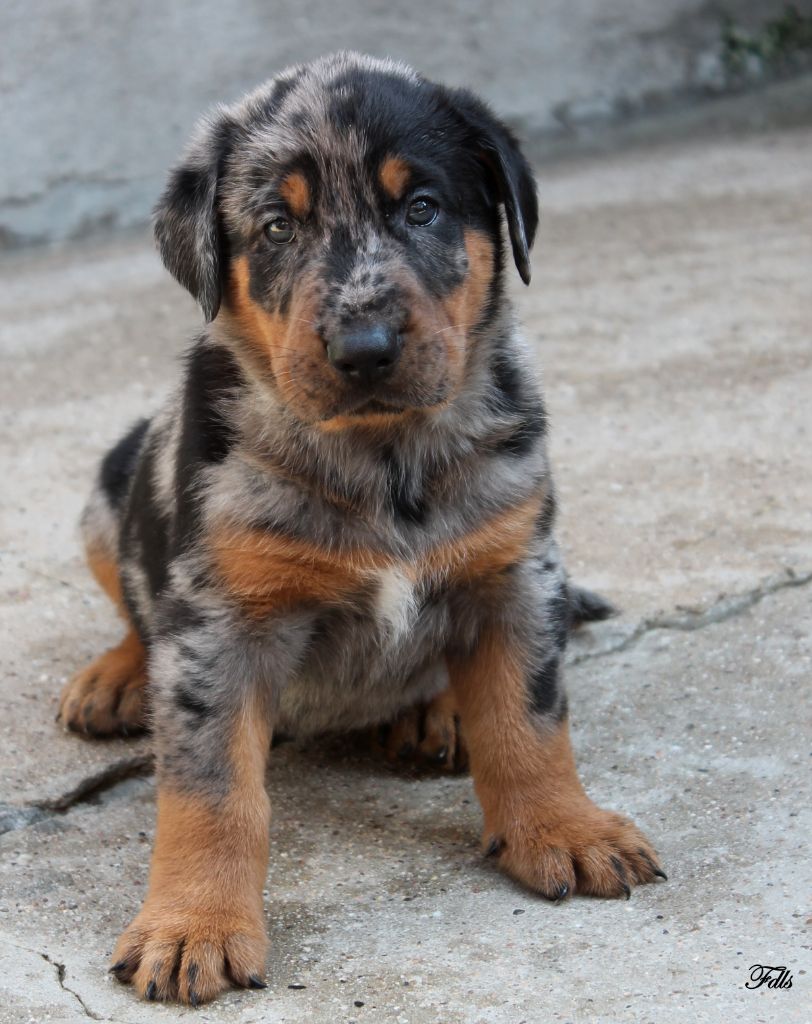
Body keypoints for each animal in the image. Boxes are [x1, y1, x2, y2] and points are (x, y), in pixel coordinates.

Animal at [58, 51, 663, 1003]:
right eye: (276, 227)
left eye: (421, 208)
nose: (366, 348)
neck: (385, 462)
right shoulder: (218, 624)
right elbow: (212, 790)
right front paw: (194, 926)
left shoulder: (519, 572)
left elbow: (530, 722)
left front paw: (565, 829)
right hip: (106, 493)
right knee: (130, 598)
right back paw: (115, 677)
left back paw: (439, 711)